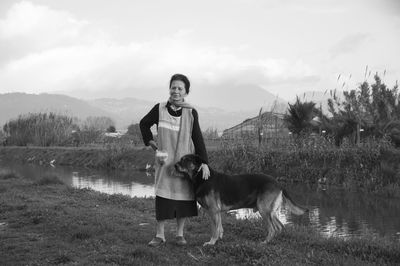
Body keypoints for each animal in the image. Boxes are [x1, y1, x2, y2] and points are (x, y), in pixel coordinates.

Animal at [173, 155, 308, 246]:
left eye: (185, 159)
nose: (174, 165)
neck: (200, 177)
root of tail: (278, 183)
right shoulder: (216, 212)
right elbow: (219, 227)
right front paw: (219, 239)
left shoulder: (213, 211)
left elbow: (214, 229)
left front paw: (211, 242)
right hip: (271, 211)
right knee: (279, 226)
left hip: (264, 209)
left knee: (272, 228)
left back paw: (265, 242)